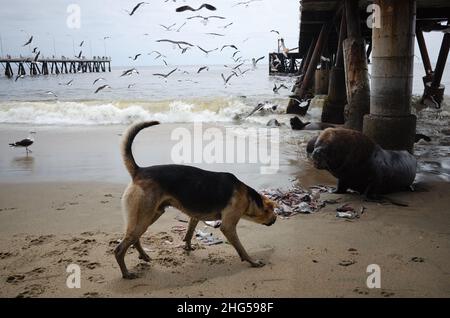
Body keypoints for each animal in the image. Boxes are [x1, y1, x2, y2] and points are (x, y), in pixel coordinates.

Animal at [115, 121, 278, 278]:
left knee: (134, 239)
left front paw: (187, 247)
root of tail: (139, 171)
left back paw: (143, 256)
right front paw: (253, 262)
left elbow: (189, 232)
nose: (276, 219)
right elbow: (242, 249)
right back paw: (126, 273)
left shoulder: (195, 216)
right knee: (119, 249)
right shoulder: (228, 227)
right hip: (143, 218)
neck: (249, 197)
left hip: (151, 215)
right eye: (272, 211)